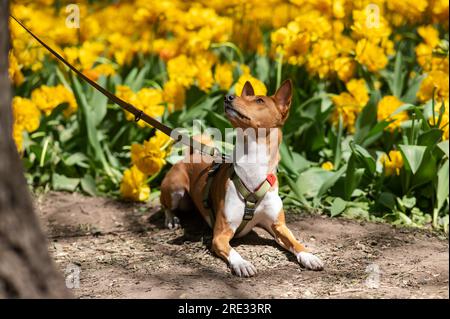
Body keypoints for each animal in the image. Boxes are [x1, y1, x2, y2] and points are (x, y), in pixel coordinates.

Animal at [161, 80, 324, 278]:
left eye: (260, 100)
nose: (228, 97)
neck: (253, 168)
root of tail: (191, 155)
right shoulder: (220, 235)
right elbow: (233, 251)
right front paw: (242, 264)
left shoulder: (278, 226)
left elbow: (295, 242)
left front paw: (309, 255)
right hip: (175, 189)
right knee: (166, 205)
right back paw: (171, 220)